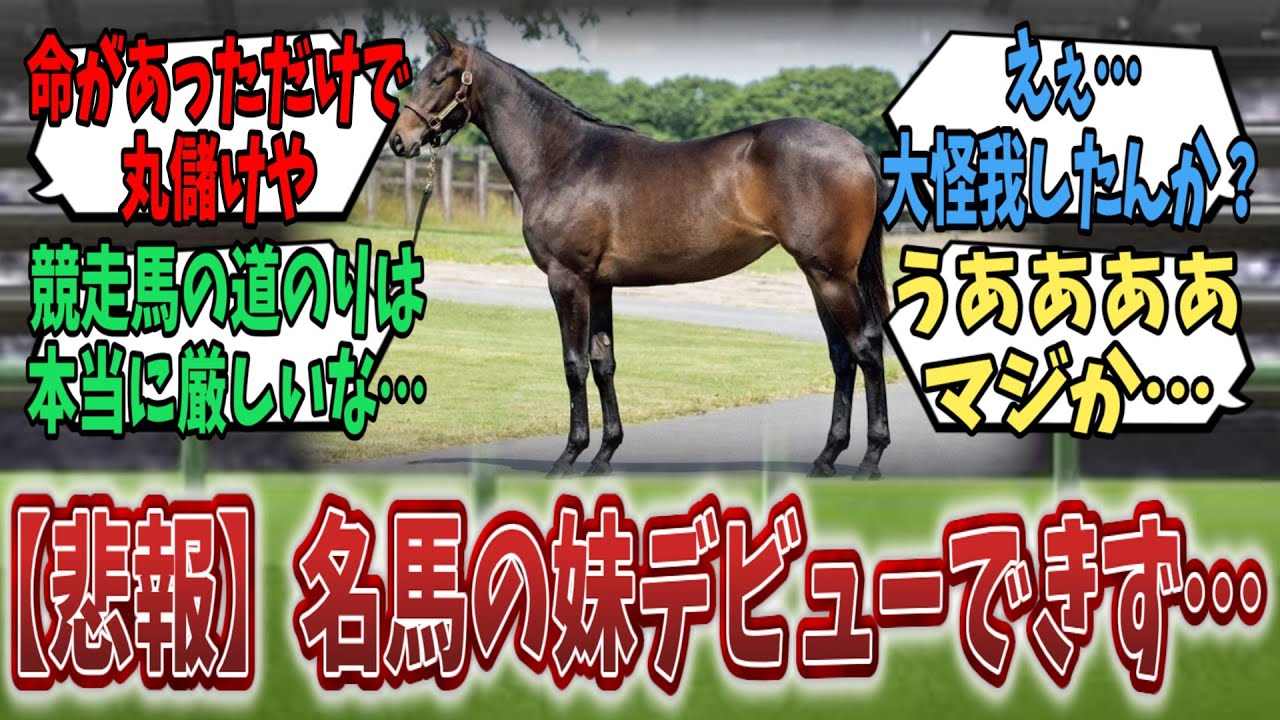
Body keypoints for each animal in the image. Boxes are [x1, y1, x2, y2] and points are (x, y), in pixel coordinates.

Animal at [390, 28, 890, 478]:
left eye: (439, 78)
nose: (399, 140)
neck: (564, 158)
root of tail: (856, 148)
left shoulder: (566, 279)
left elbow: (573, 364)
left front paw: (569, 455)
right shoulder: (599, 285)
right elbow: (602, 363)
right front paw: (604, 453)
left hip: (831, 275)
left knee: (866, 346)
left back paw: (871, 458)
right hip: (817, 275)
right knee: (842, 355)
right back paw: (827, 457)